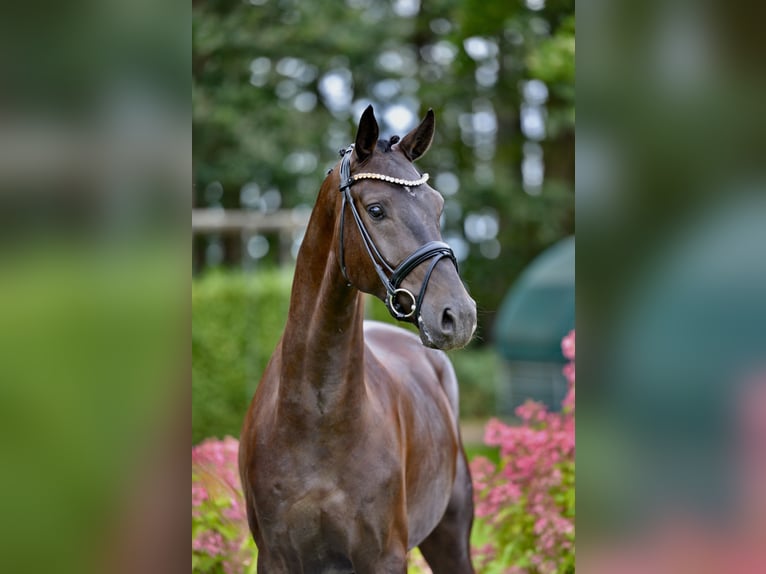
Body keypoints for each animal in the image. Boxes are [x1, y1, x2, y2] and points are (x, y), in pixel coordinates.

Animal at [239, 105, 478, 574]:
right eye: (376, 208)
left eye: (438, 205)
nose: (458, 316)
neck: (316, 417)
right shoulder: (275, 558)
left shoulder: (384, 557)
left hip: (450, 537)